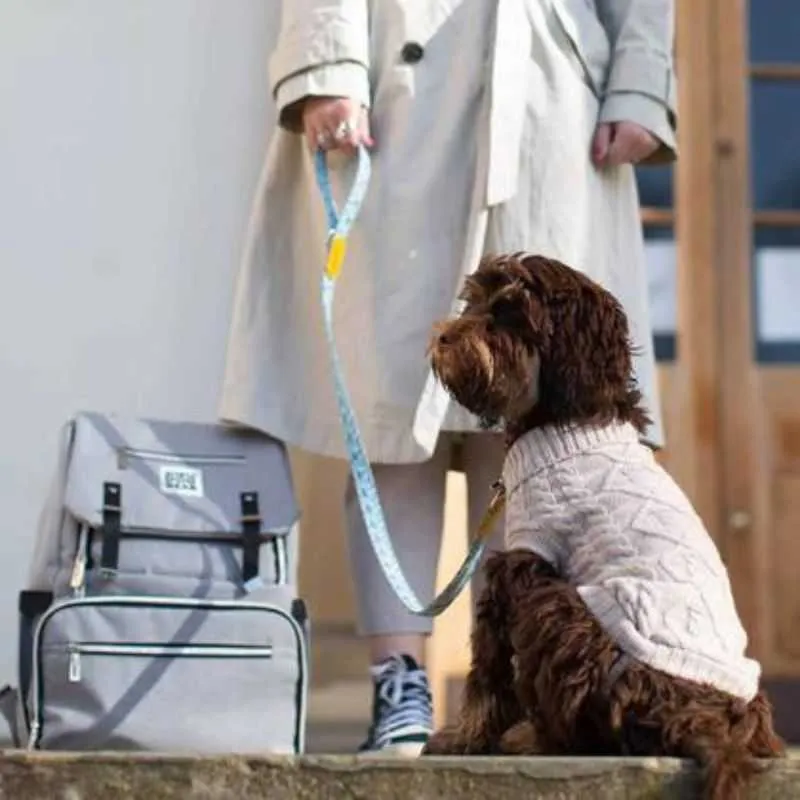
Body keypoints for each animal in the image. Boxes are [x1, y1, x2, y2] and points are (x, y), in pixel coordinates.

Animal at [422, 253, 784, 796]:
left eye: (509, 312)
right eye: (476, 301)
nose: (443, 337)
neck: (564, 416)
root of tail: (706, 718)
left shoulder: (522, 562)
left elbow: (488, 671)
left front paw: (464, 739)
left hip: (567, 615)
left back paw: (534, 741)